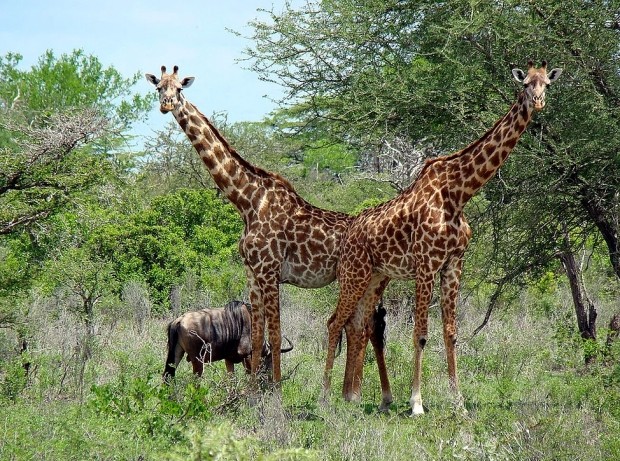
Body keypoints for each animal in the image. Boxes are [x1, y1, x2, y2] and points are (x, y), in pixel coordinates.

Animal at [143, 65, 390, 392]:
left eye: (180, 89)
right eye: (159, 87)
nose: (166, 104)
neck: (247, 201)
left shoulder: (270, 272)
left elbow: (274, 333)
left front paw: (276, 391)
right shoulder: (252, 273)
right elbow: (257, 337)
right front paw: (250, 393)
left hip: (357, 280)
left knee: (359, 326)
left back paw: (345, 392)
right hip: (370, 281)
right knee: (363, 326)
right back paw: (353, 392)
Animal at [324, 59, 560, 416]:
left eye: (546, 83)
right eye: (525, 84)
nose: (538, 102)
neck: (458, 193)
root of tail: (349, 231)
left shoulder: (453, 264)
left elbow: (451, 333)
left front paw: (459, 403)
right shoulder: (426, 265)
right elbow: (420, 333)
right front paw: (417, 404)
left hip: (375, 276)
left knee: (358, 324)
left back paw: (352, 398)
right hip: (353, 273)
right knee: (334, 322)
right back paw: (325, 398)